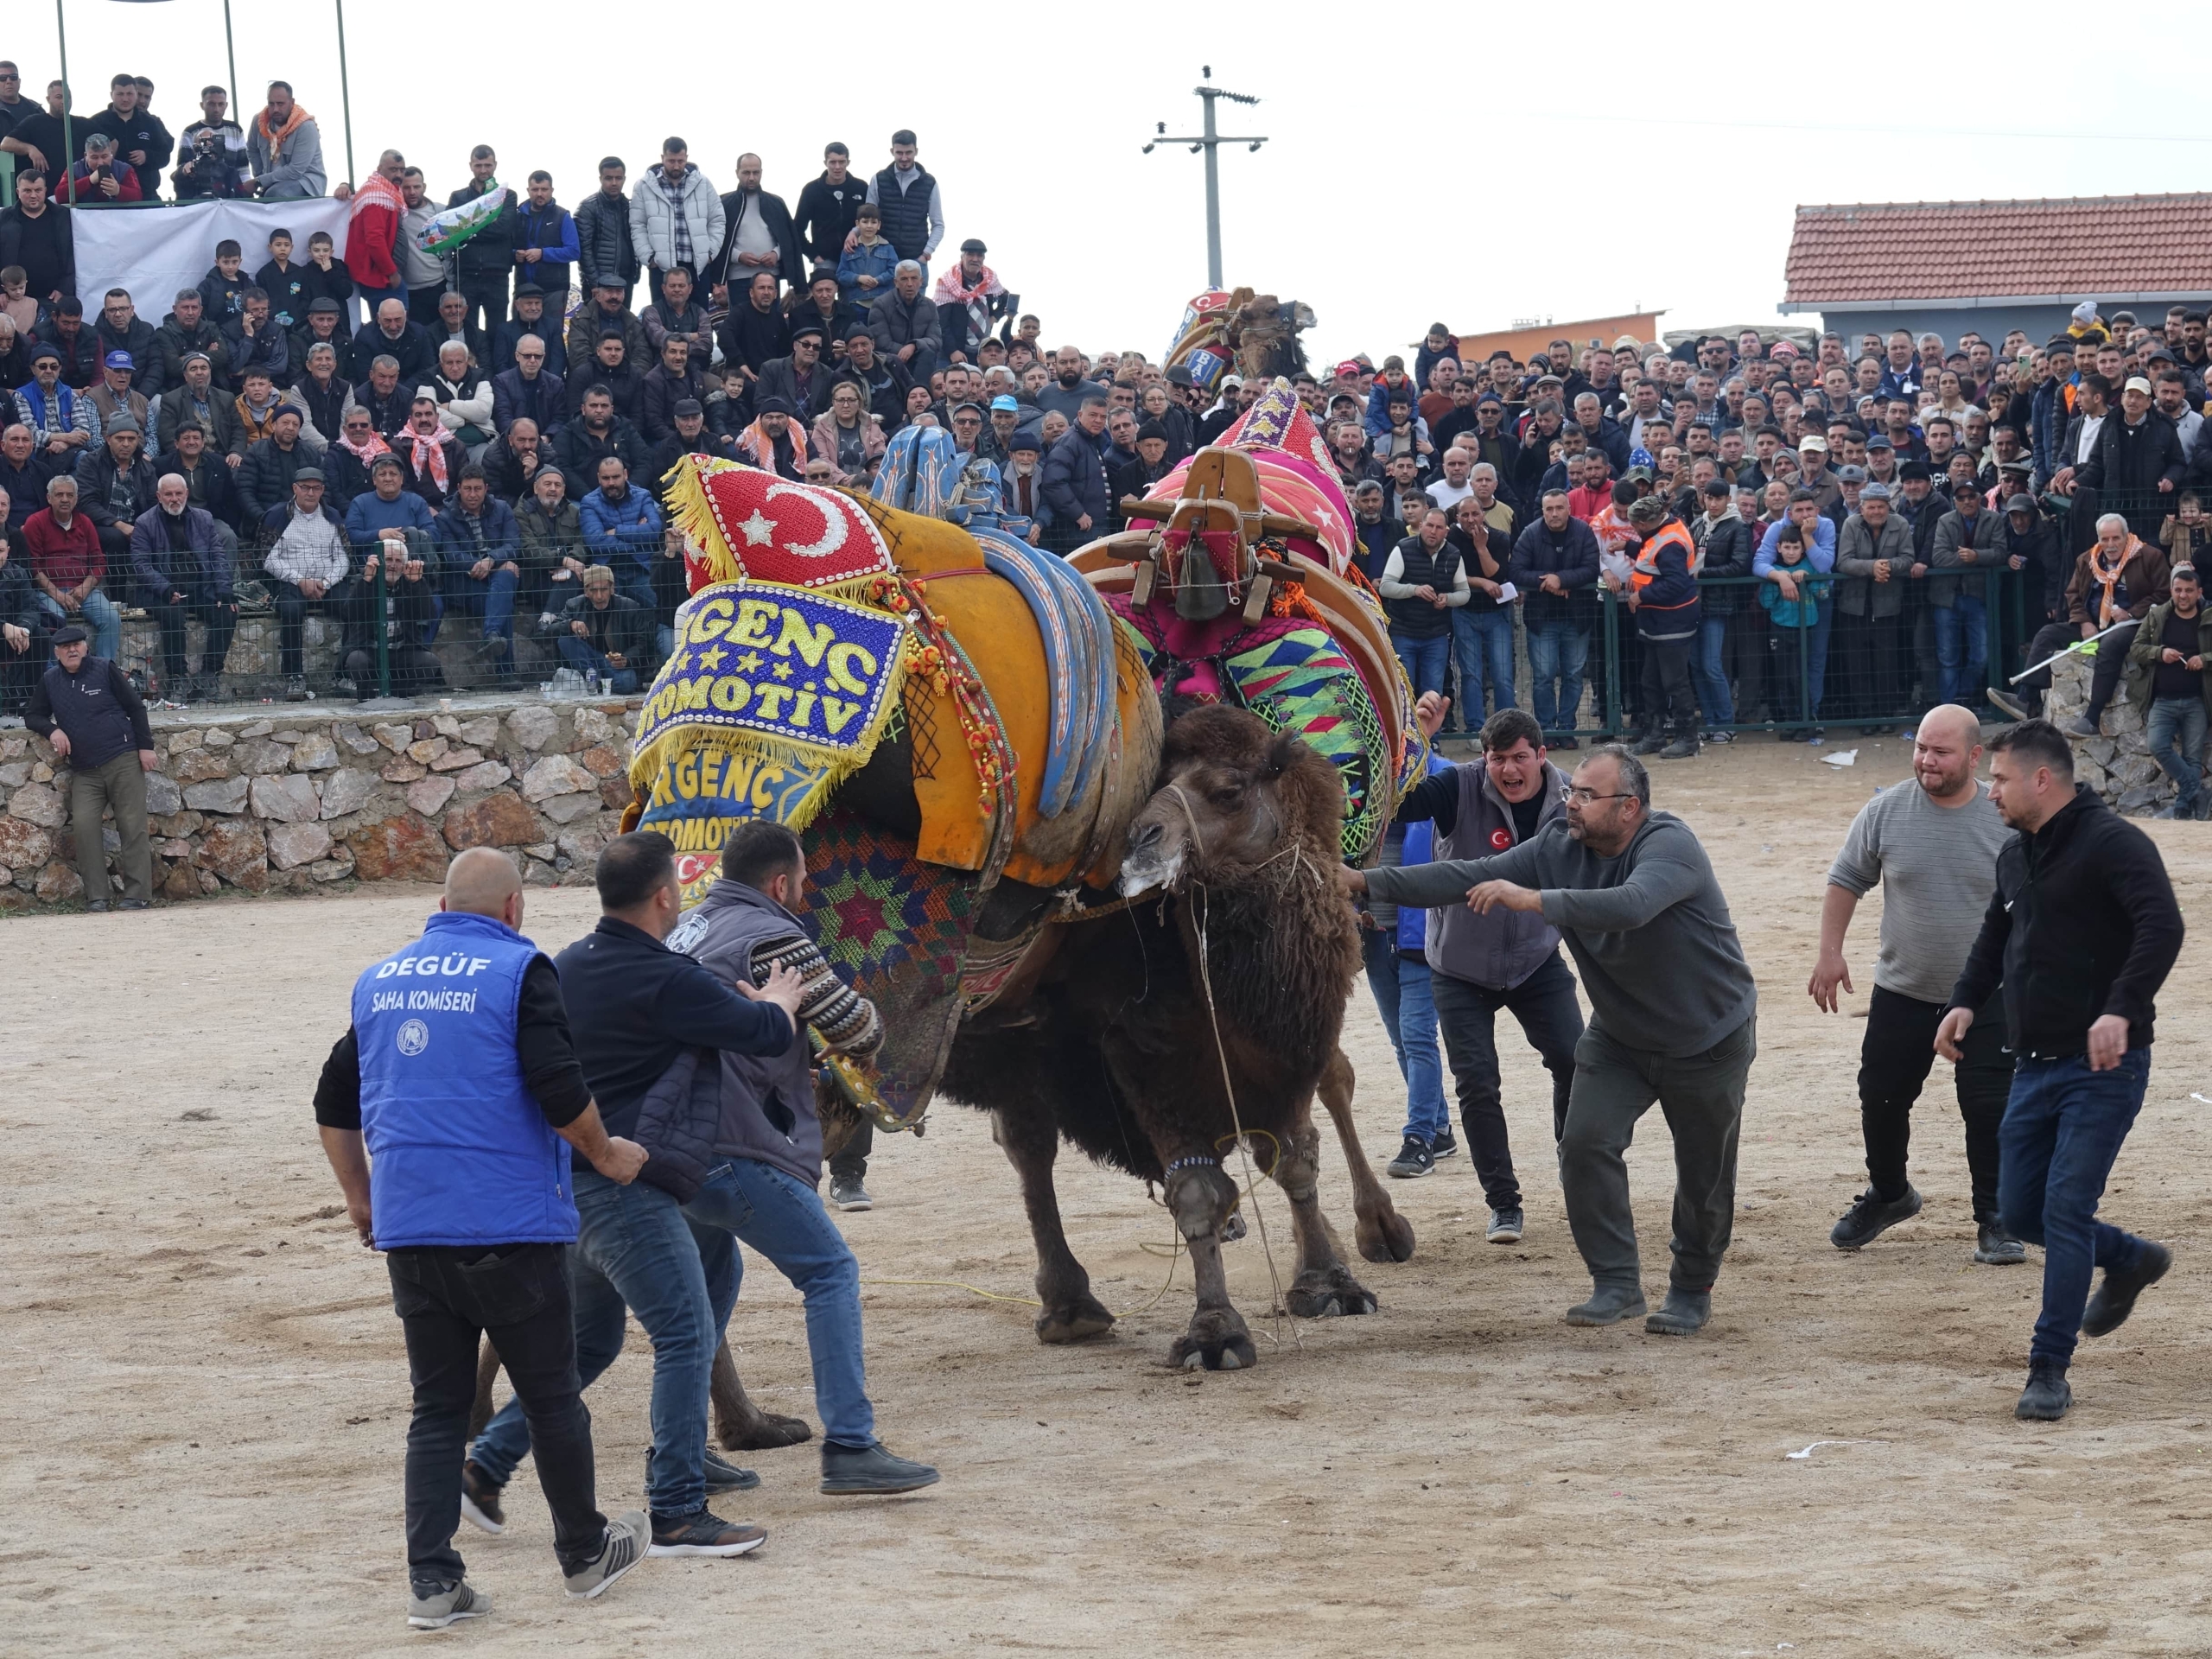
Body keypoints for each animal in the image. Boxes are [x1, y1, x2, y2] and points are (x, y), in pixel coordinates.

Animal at [942, 708, 1407, 1371]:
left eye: (1229, 791)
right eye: (1156, 781)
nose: (1139, 840)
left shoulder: (1288, 1051)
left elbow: (1297, 1155)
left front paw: (1330, 1283)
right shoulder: (1145, 1055)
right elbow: (1198, 1190)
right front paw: (1215, 1332)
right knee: (1029, 1142)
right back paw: (1071, 1306)